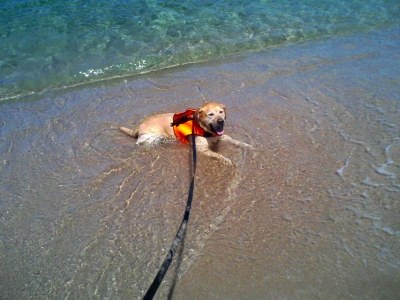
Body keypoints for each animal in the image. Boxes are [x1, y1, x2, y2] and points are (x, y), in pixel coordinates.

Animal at [117, 102, 252, 165]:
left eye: (221, 112)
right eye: (210, 114)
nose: (221, 121)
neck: (205, 130)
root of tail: (140, 125)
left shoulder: (221, 136)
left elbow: (234, 140)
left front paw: (247, 145)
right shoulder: (201, 148)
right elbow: (217, 155)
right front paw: (226, 159)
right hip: (152, 137)